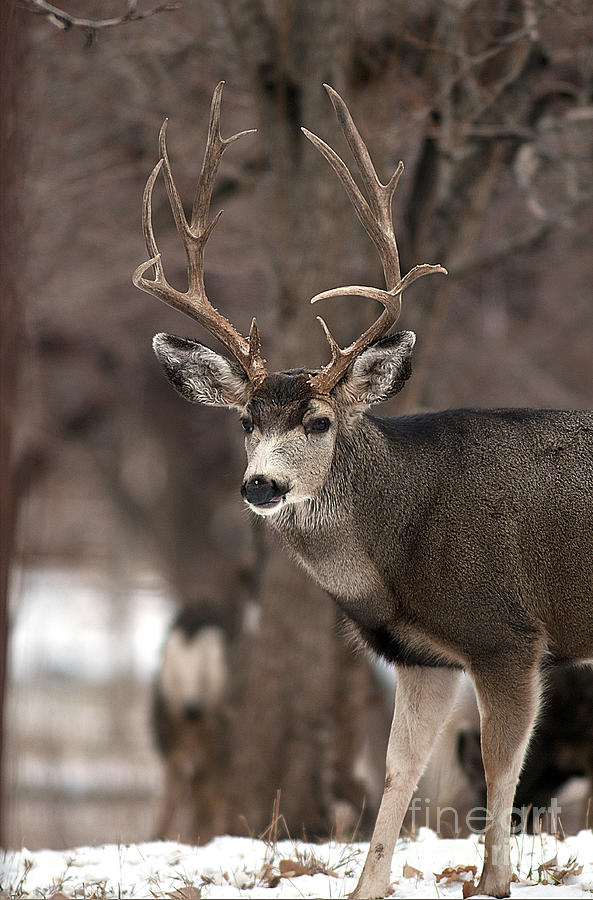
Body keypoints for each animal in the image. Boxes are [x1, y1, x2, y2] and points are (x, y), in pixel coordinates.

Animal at [132, 81, 588, 896]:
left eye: (317, 420)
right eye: (244, 420)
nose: (261, 484)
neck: (398, 541)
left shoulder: (506, 633)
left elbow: (500, 766)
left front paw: (493, 881)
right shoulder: (422, 654)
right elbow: (398, 767)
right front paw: (366, 886)